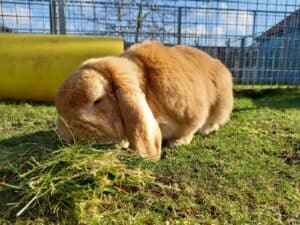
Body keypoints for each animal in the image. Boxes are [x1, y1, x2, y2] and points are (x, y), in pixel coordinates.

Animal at [56, 40, 234, 160]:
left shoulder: (192, 114)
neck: (146, 85)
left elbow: (190, 128)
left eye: (97, 100)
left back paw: (207, 129)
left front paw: (177, 142)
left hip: (221, 105)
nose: (65, 135)